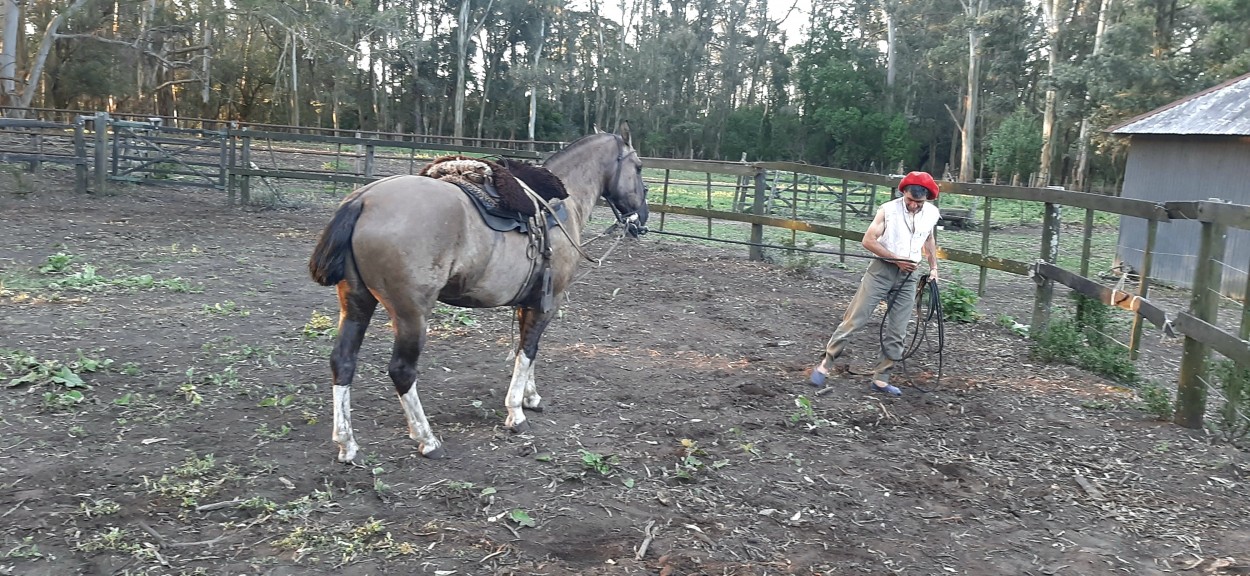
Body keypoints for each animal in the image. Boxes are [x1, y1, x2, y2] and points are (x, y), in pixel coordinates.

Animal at [307, 128, 650, 459]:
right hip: (411, 313)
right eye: (638, 167)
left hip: (356, 302)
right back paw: (427, 439)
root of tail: (363, 199)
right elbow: (528, 351)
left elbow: (525, 350)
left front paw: (530, 397)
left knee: (343, 361)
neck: (559, 205)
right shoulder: (548, 302)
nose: (643, 219)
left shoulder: (530, 302)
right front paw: (516, 412)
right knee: (402, 371)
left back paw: (347, 444)